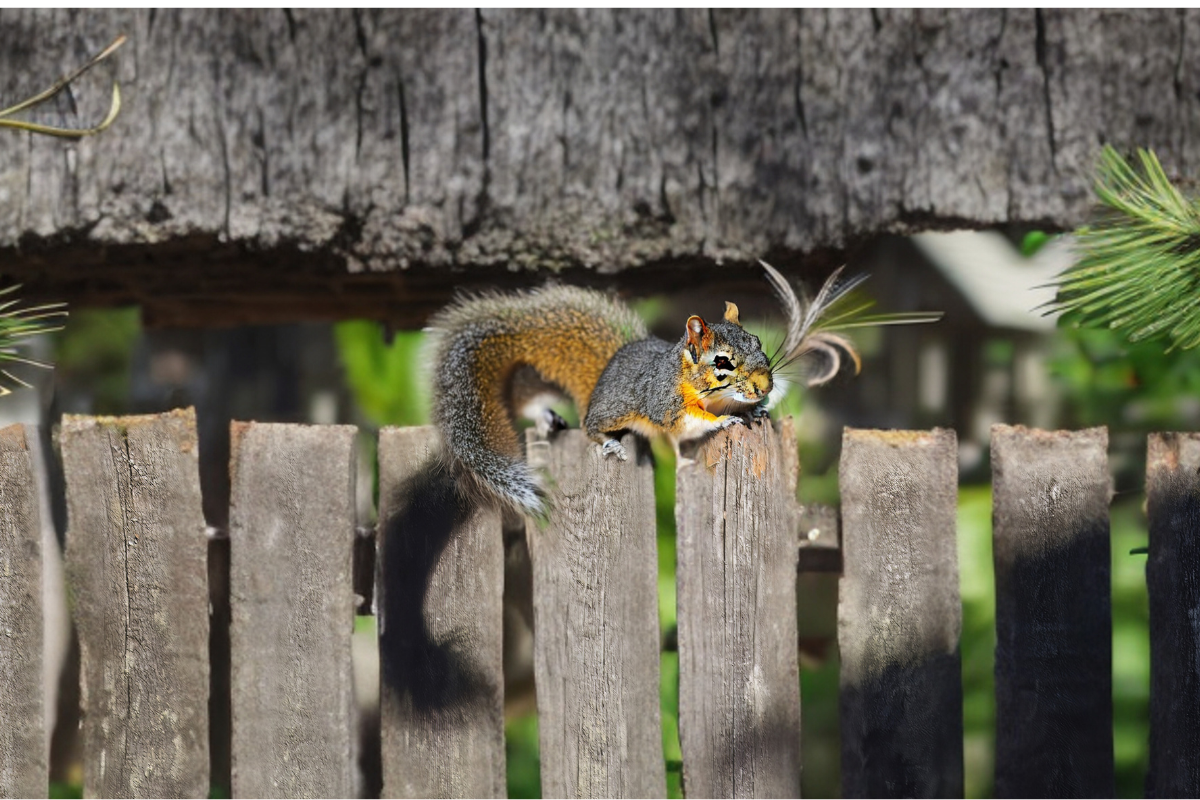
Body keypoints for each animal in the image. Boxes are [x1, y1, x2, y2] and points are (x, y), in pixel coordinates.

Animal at [427, 260, 868, 515]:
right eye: (721, 363)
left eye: (759, 342)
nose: (764, 388)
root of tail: (602, 379)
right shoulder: (665, 405)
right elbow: (690, 421)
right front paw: (722, 423)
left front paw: (755, 410)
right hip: (615, 411)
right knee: (591, 427)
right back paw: (610, 442)